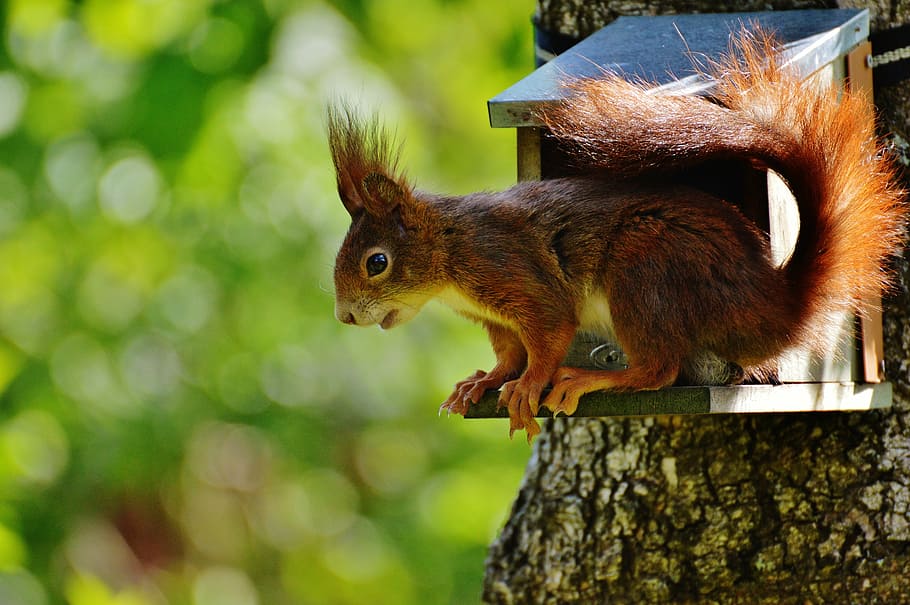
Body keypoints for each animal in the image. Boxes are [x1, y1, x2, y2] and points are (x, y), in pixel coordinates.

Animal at [328, 30, 906, 441]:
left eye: (376, 262)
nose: (346, 317)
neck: (449, 252)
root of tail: (773, 305)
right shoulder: (494, 317)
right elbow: (509, 354)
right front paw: (484, 381)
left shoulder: (508, 269)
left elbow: (549, 333)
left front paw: (530, 385)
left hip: (643, 266)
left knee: (659, 369)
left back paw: (591, 378)